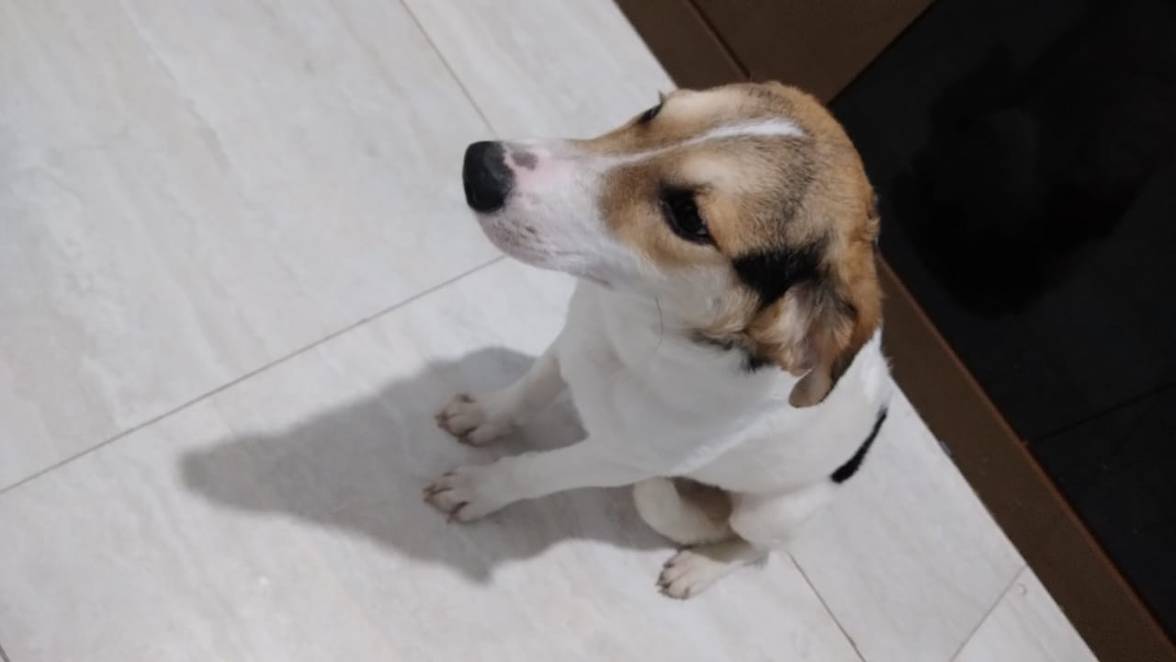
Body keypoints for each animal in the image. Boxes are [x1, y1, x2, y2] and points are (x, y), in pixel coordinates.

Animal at [424, 82, 892, 598]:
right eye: (654, 110)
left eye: (688, 217)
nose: (480, 166)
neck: (645, 332)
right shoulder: (574, 337)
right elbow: (527, 393)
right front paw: (484, 415)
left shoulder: (618, 460)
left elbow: (533, 471)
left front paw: (480, 489)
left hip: (772, 513)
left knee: (753, 549)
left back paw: (701, 567)